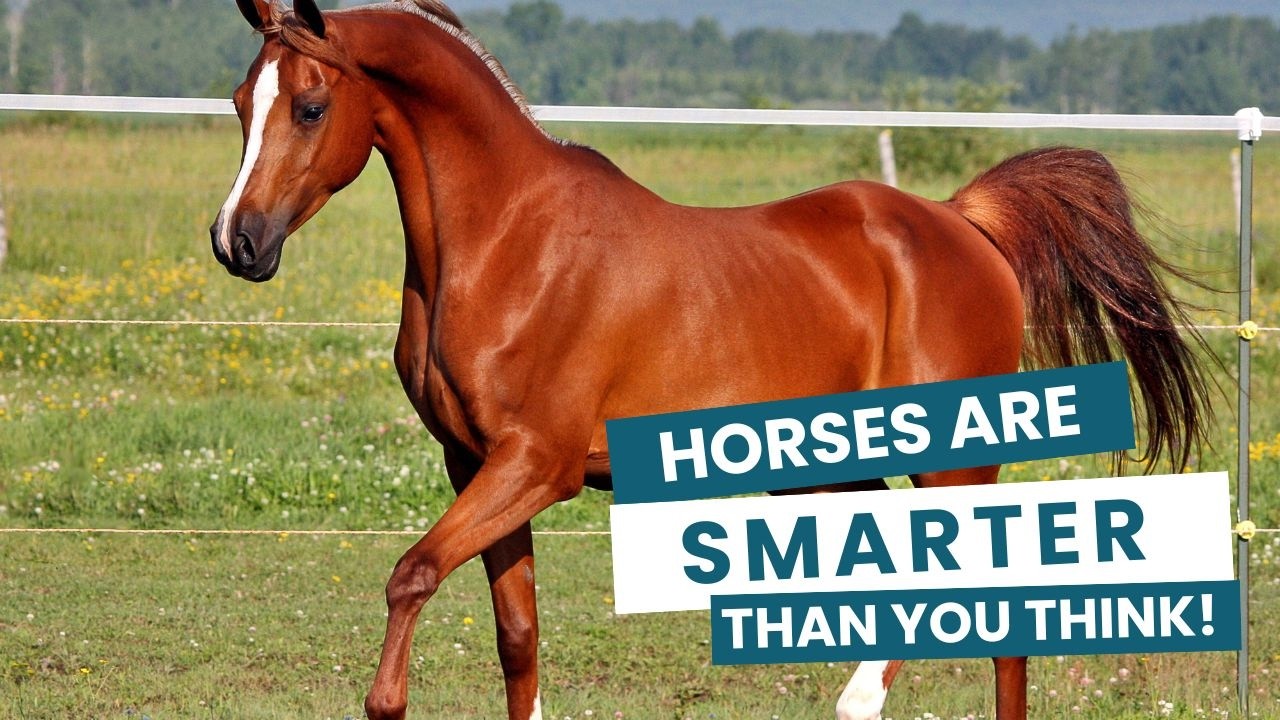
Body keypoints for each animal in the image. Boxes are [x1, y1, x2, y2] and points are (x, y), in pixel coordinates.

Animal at [210, 2, 1209, 719]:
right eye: (239, 104)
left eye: (310, 106)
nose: (236, 243)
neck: (506, 241)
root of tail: (963, 223)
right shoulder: (474, 464)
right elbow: (518, 639)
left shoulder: (536, 465)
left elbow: (410, 574)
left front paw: (385, 700)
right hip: (829, 468)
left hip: (954, 461)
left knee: (992, 604)